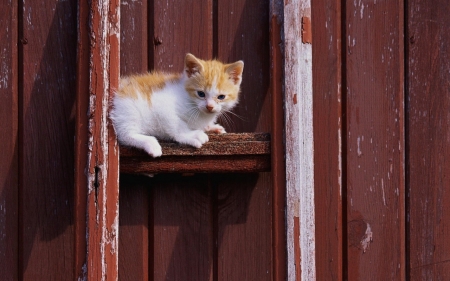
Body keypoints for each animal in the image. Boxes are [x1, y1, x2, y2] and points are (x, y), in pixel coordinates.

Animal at [110, 53, 244, 156]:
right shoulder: (162, 106)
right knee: (125, 134)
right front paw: (191, 135)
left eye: (221, 97)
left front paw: (211, 127)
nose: (209, 106)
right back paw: (151, 143)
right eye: (201, 94)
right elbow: (177, 125)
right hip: (128, 108)